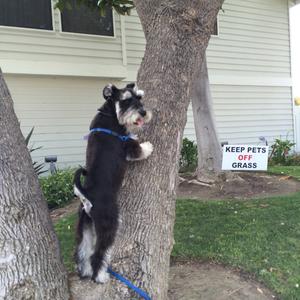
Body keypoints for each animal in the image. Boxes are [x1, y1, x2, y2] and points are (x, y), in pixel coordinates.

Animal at [72, 82, 152, 284]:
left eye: (139, 97)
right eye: (125, 101)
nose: (143, 113)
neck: (110, 114)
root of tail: (86, 196)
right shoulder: (128, 145)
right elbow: (139, 149)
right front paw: (148, 146)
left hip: (85, 226)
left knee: (82, 252)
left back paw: (85, 272)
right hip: (109, 224)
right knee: (98, 254)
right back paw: (100, 277)